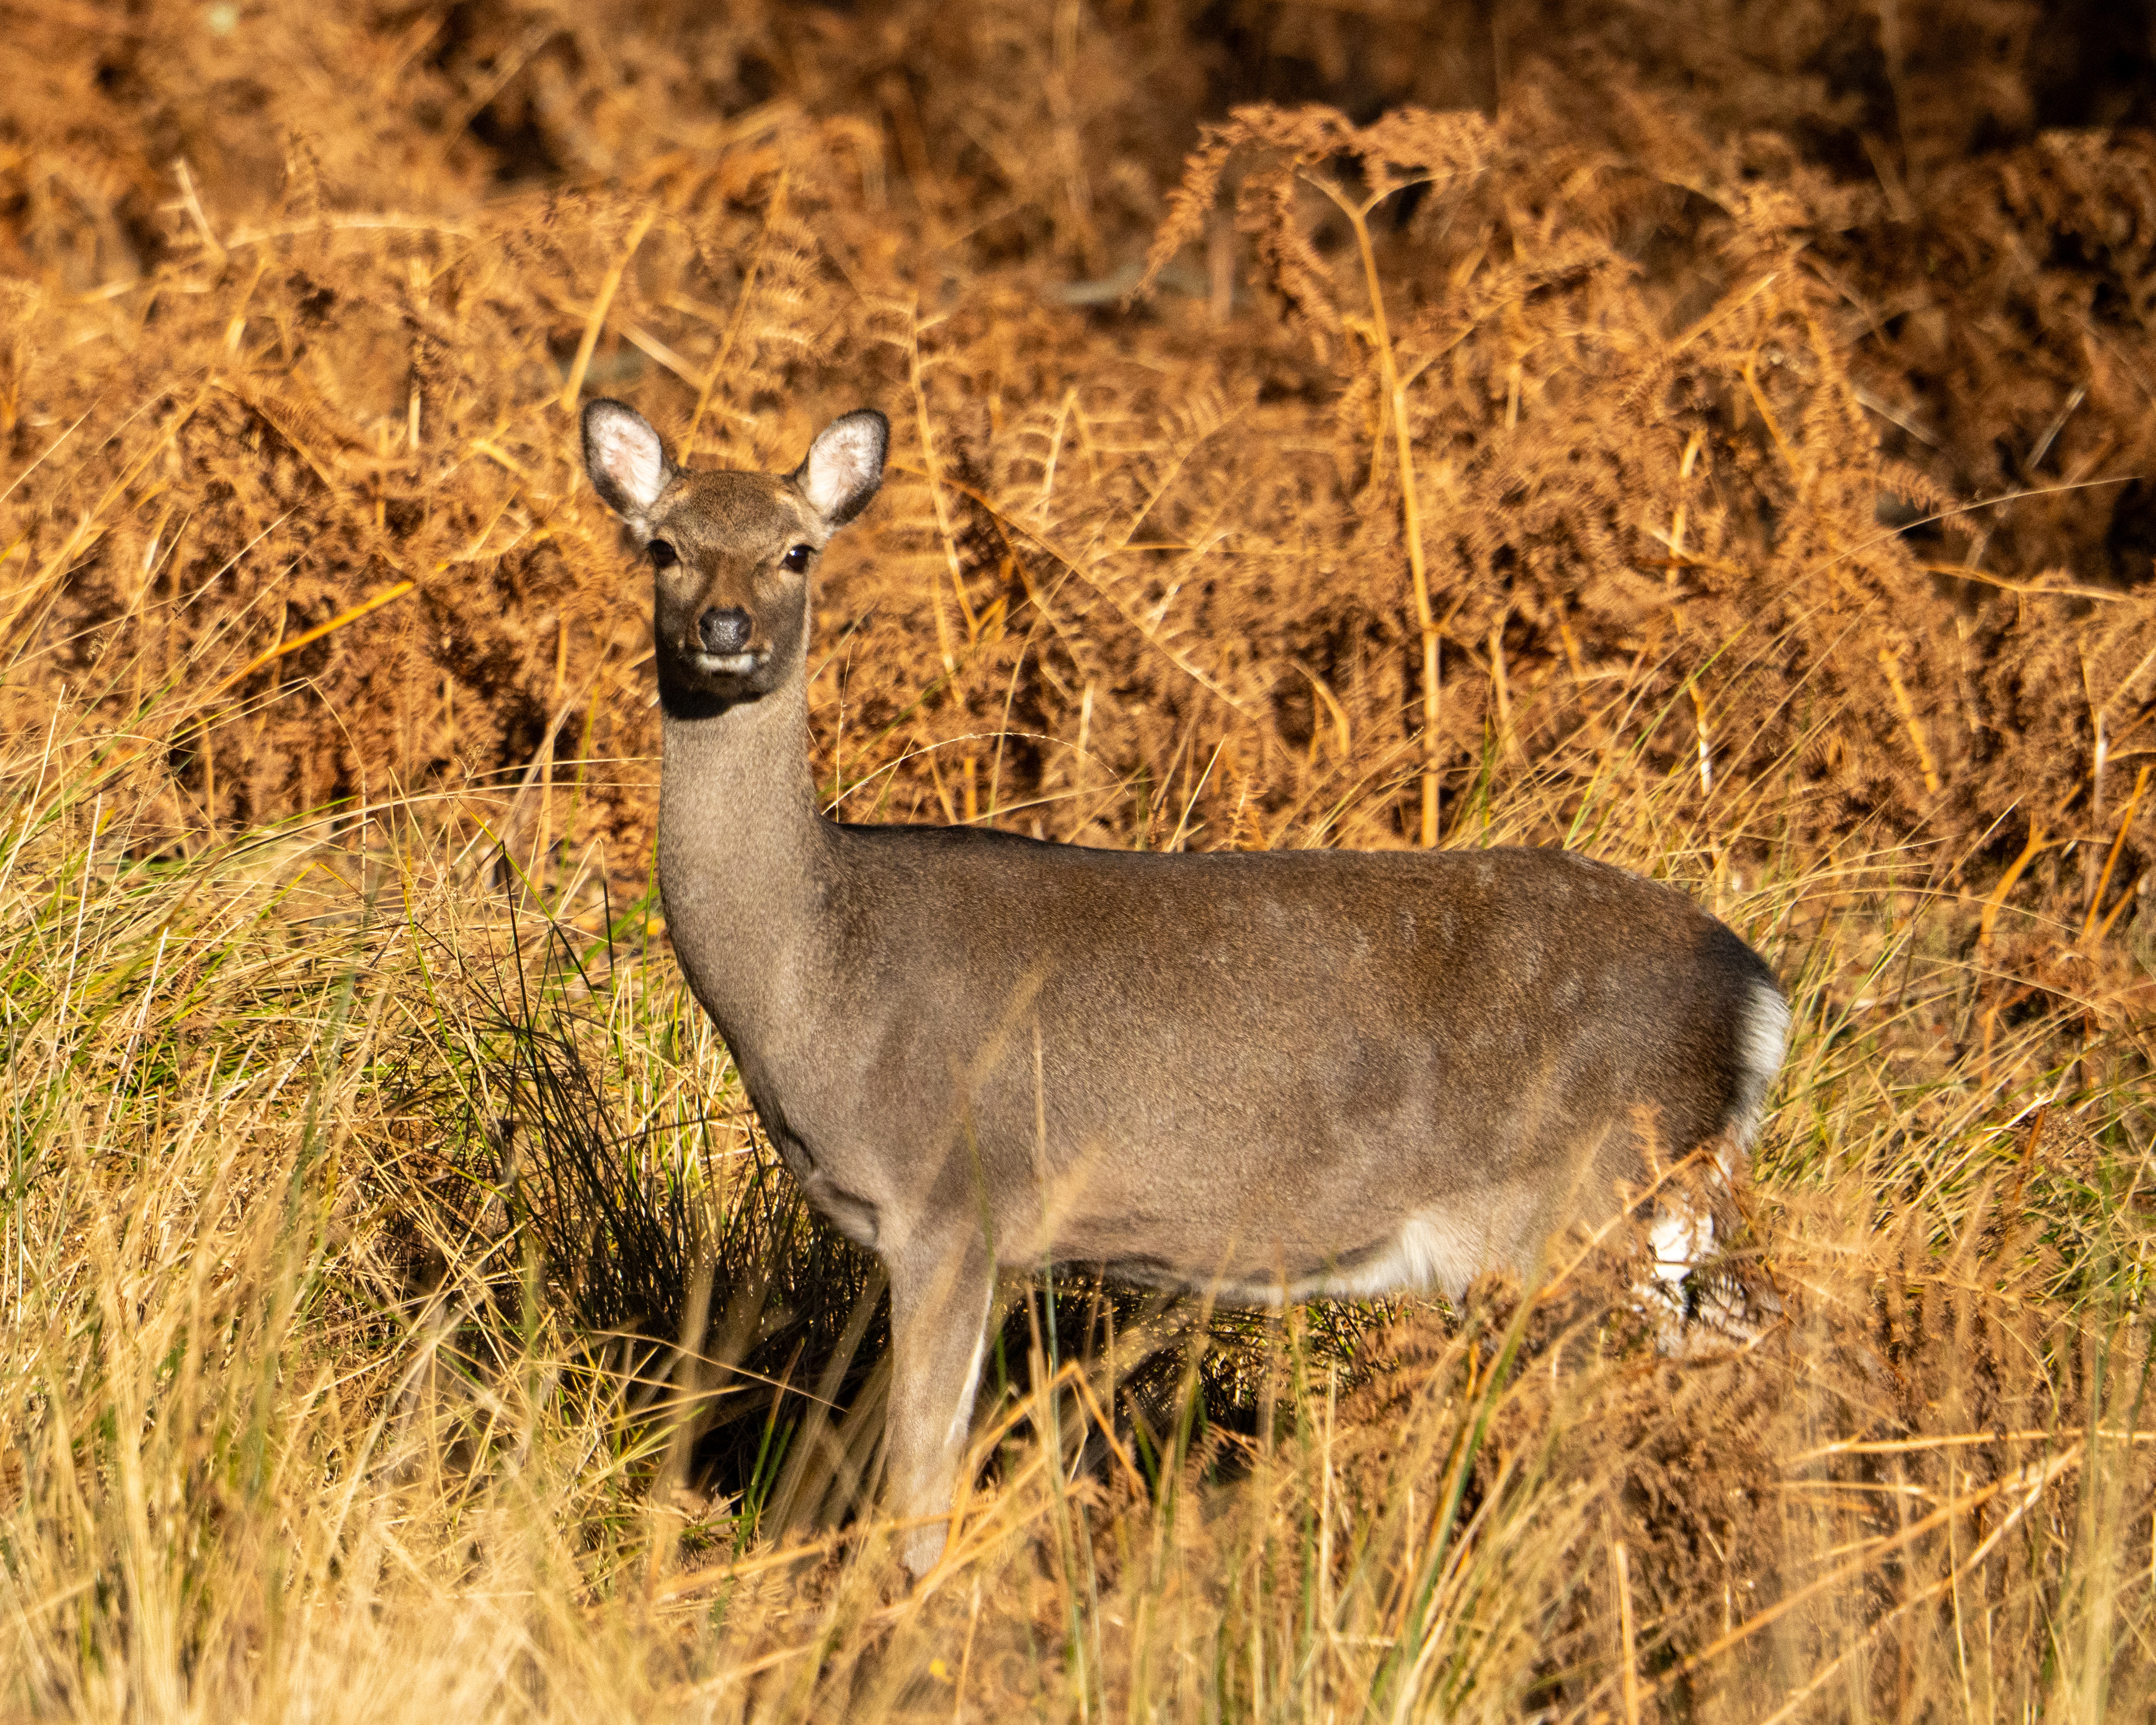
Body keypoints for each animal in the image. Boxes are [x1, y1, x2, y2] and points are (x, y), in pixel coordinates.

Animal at [580, 397, 1790, 1578]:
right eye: (663, 546)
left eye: (798, 550)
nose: (725, 627)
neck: (818, 978)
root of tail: (1756, 994)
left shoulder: (954, 1200)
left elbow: (918, 1494)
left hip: (1588, 1202)